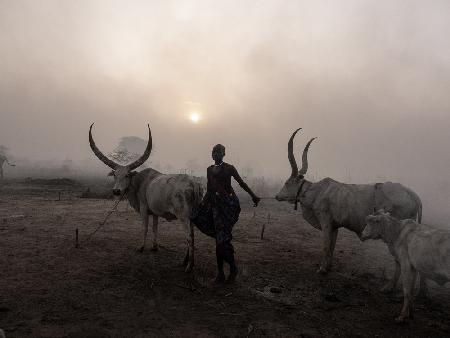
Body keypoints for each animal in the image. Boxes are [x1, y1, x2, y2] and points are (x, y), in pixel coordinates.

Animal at [276, 128, 424, 276]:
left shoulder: (326, 223)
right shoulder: (334, 226)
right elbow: (332, 247)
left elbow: (326, 246)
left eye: (287, 183)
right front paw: (328, 267)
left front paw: (322, 269)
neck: (316, 191)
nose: (277, 196)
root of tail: (414, 195)